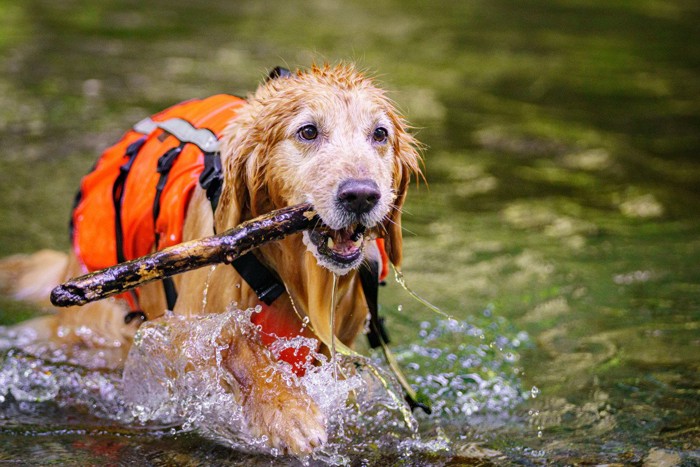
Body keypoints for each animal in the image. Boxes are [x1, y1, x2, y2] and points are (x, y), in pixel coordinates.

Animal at [0, 64, 422, 456]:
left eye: (380, 134)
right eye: (307, 131)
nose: (361, 195)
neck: (291, 272)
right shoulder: (179, 333)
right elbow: (234, 343)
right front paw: (287, 410)